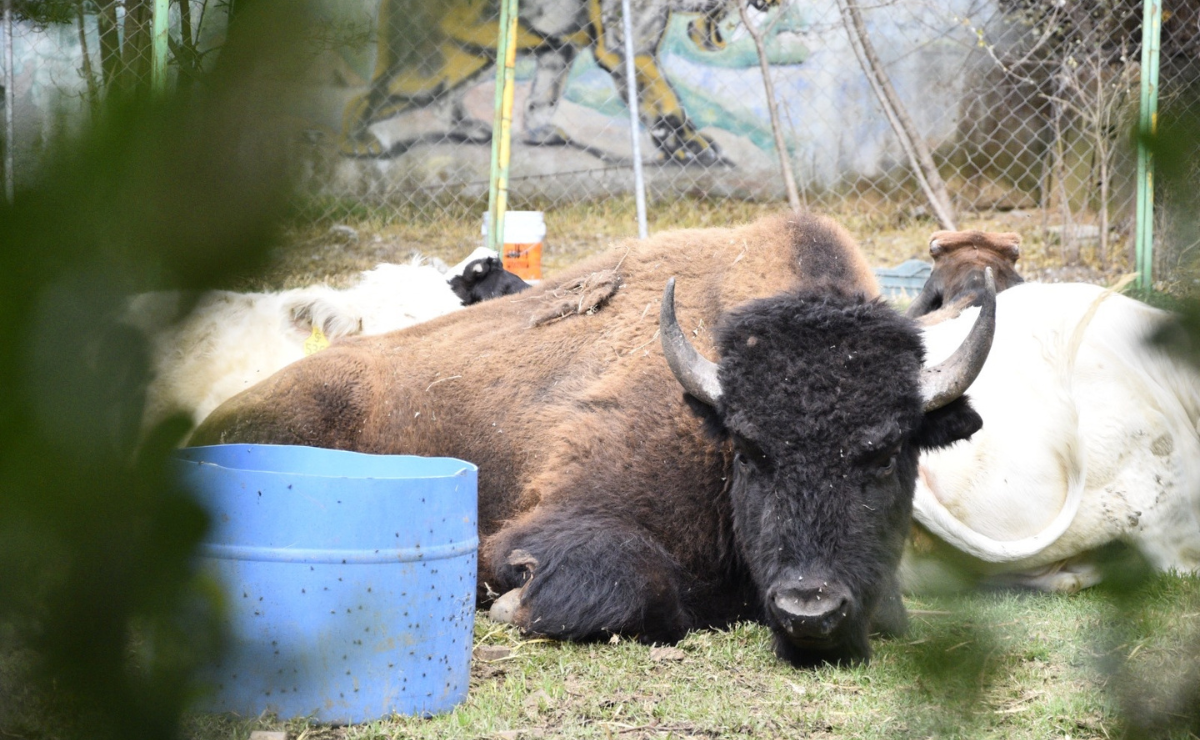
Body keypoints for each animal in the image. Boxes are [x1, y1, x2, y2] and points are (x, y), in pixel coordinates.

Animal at [189, 212, 993, 662]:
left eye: (886, 453)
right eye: (749, 449)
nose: (810, 610)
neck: (704, 404)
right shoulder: (552, 520)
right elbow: (631, 582)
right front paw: (512, 604)